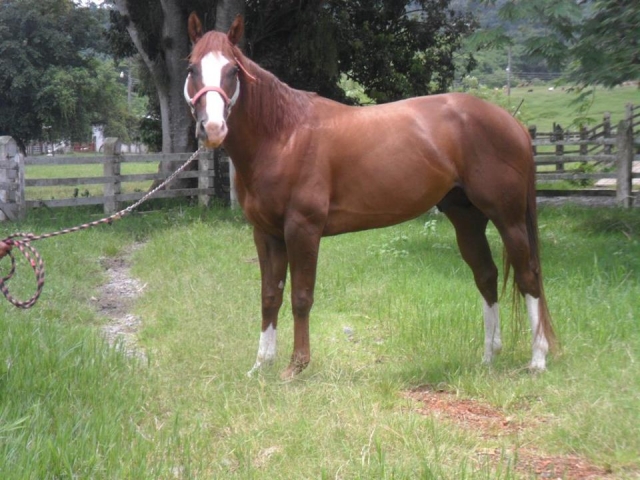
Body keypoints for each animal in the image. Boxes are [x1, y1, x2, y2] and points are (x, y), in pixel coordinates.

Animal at [184, 13, 556, 380]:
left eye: (233, 70)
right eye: (192, 68)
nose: (212, 129)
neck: (284, 137)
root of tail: (512, 123)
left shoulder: (303, 229)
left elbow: (301, 296)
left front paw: (297, 365)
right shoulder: (266, 233)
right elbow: (269, 296)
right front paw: (261, 365)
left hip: (508, 219)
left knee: (528, 276)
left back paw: (538, 359)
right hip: (467, 218)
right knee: (486, 276)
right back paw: (489, 357)